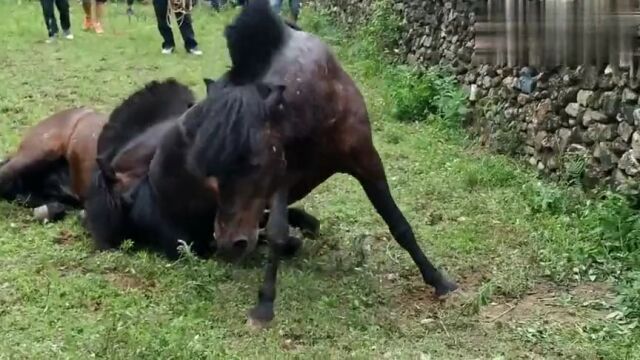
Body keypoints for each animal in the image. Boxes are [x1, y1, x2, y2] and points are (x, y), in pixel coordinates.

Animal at [198, 0, 458, 326]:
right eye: (211, 167)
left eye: (255, 163)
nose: (228, 243)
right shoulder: (282, 176)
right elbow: (277, 233)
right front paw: (265, 304)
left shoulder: (367, 161)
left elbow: (399, 224)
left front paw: (439, 281)